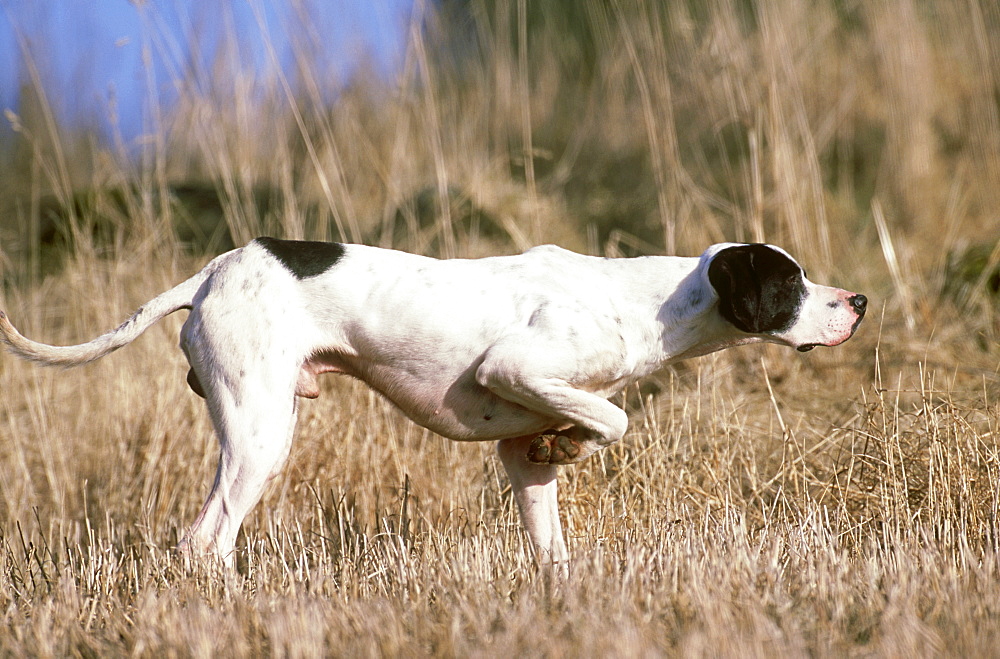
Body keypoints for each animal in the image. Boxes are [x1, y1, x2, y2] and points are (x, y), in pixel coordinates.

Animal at [0, 241, 864, 568]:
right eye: (790, 281)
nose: (857, 299)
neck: (644, 300)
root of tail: (213, 270)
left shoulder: (517, 456)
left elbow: (550, 535)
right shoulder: (516, 365)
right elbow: (613, 419)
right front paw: (576, 441)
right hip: (259, 436)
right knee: (204, 538)